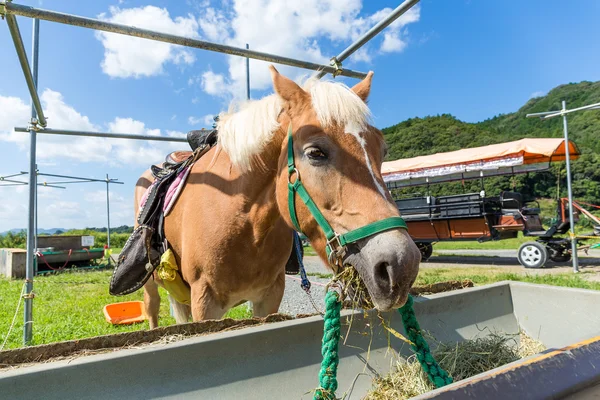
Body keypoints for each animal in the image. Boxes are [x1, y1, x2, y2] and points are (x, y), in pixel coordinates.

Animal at [134, 65, 420, 328]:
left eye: (382, 151)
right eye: (315, 152)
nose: (401, 266)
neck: (245, 224)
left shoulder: (268, 298)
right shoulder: (205, 303)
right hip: (151, 288)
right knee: (152, 310)